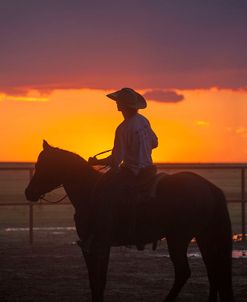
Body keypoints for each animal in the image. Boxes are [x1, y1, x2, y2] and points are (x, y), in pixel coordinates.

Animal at [25, 142, 233, 302]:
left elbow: (99, 281)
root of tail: (208, 187)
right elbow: (94, 282)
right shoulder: (91, 246)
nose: (29, 192)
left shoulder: (98, 244)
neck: (89, 192)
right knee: (214, 271)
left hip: (178, 239)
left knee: (184, 272)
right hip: (204, 237)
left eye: (44, 165)